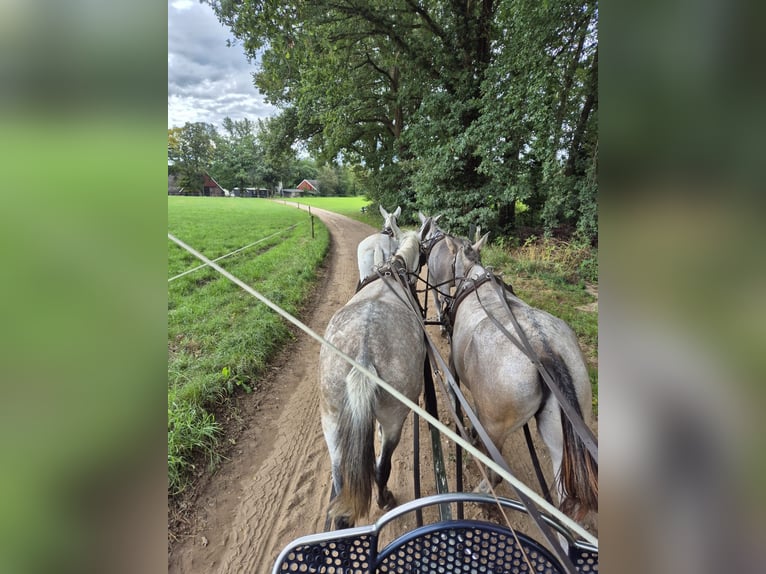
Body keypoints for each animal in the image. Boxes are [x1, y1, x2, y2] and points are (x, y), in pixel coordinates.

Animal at [320, 217, 436, 532]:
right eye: (423, 252)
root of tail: (363, 350)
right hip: (395, 415)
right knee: (384, 467)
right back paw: (385, 498)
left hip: (331, 419)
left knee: (340, 480)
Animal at [440, 236, 596, 524]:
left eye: (452, 258)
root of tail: (545, 350)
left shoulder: (454, 363)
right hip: (562, 429)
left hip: (496, 427)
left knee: (496, 473)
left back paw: (483, 492)